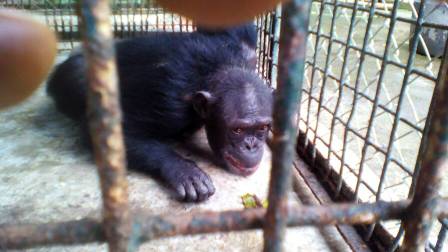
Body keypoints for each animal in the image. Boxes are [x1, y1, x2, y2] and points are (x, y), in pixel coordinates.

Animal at [48, 23, 272, 201]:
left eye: (262, 128)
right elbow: (102, 132)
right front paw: (183, 170)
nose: (251, 145)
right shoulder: (168, 103)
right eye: (237, 130)